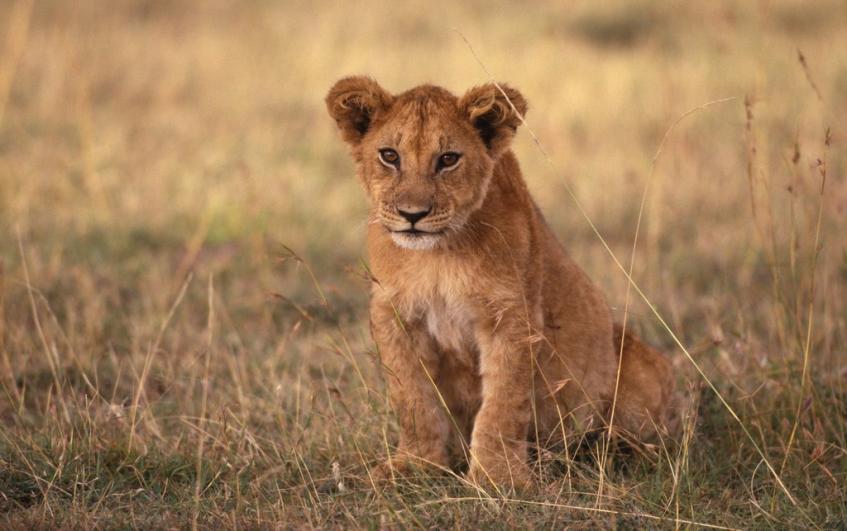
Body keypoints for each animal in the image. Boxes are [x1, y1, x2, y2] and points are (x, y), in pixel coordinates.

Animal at [325, 76, 677, 488]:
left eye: (448, 159)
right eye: (389, 156)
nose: (413, 214)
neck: (437, 256)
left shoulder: (511, 316)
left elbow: (503, 402)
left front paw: (497, 477)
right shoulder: (394, 314)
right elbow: (411, 397)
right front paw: (416, 465)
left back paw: (602, 446)